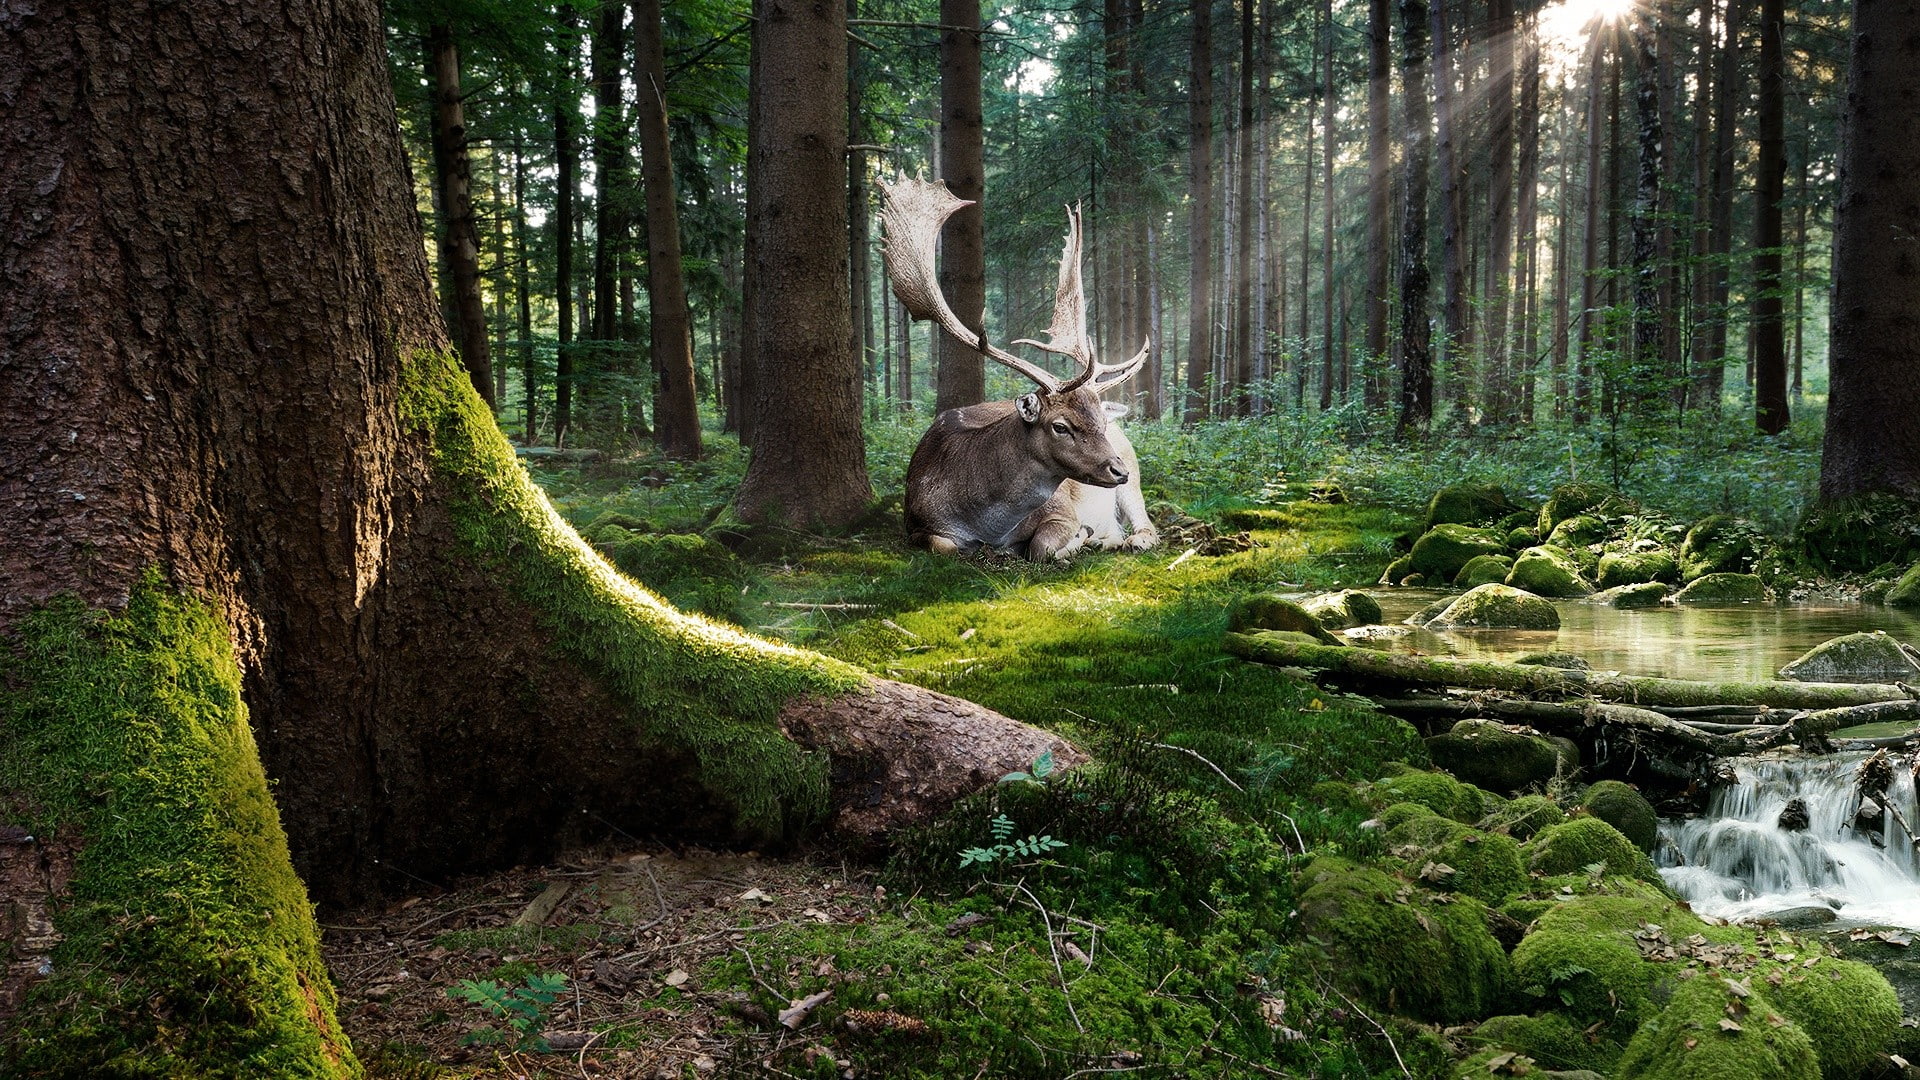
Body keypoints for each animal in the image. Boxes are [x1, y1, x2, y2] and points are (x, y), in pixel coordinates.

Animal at [879, 175, 1150, 561]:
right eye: (1060, 426)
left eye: (1100, 422)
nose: (1117, 470)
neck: (985, 524)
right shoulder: (914, 521)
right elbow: (944, 546)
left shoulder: (1062, 509)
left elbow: (1041, 546)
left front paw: (1075, 539)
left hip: (1134, 471)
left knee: (1145, 524)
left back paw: (1127, 538)